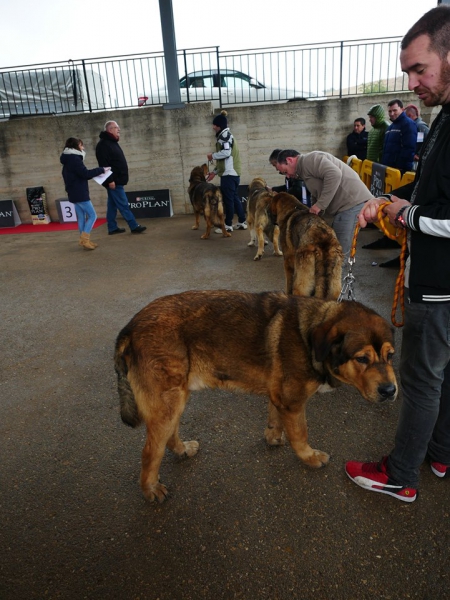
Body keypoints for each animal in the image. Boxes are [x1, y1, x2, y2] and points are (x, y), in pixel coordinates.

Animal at [115, 290, 398, 502]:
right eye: (362, 359)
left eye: (391, 356)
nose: (390, 391)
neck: (309, 335)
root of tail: (130, 327)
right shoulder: (293, 403)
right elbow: (300, 434)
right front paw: (309, 457)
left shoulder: (279, 395)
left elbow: (275, 420)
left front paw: (273, 437)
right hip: (169, 402)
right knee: (150, 451)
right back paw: (150, 489)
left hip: (175, 398)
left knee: (168, 436)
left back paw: (181, 450)